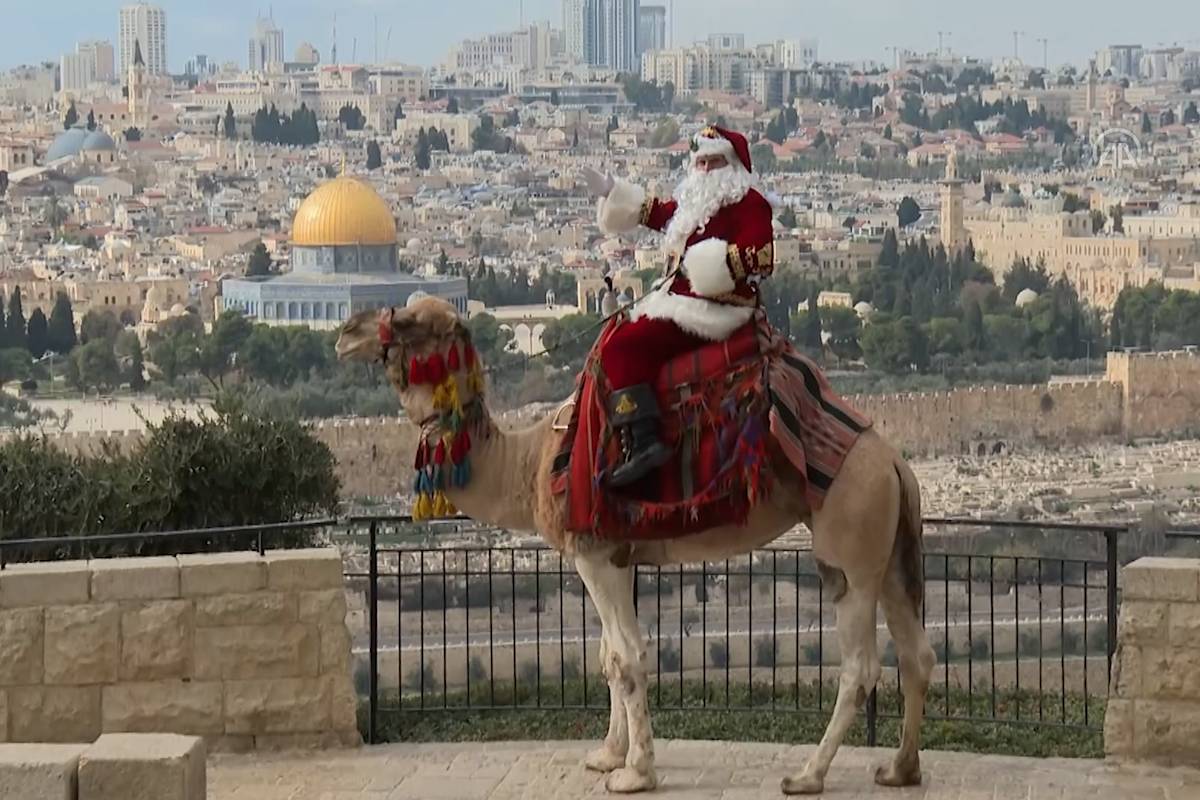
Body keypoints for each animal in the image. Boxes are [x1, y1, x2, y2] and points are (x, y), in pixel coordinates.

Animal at [338, 297, 936, 796]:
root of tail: (894, 462)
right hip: (887, 549)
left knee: (861, 666)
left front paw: (635, 773)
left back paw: (808, 775)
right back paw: (900, 769)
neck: (528, 464)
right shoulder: (619, 556)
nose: (345, 333)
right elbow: (607, 655)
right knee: (917, 653)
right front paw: (609, 753)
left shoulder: (593, 552)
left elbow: (627, 656)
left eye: (410, 321)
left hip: (847, 542)